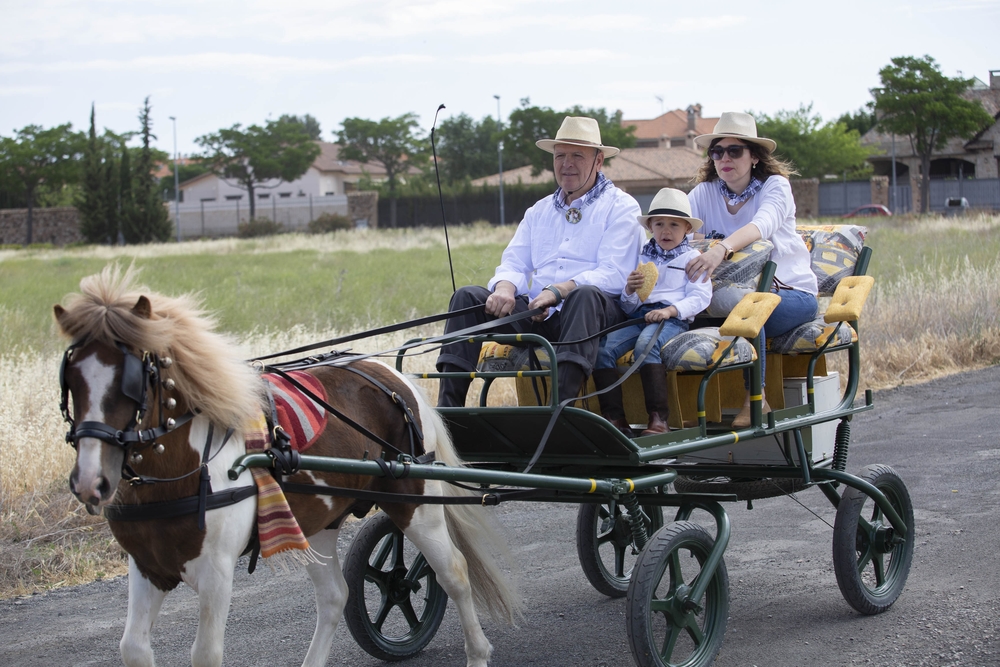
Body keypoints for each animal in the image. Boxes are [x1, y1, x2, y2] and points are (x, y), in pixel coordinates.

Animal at [52, 266, 524, 667]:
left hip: (416, 503)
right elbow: (132, 647)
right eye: (70, 380)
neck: (182, 470)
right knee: (334, 596)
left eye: (134, 380)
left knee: (454, 573)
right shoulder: (147, 566)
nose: (91, 482)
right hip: (318, 520)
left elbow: (205, 654)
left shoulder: (217, 573)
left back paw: (477, 653)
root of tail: (391, 377)